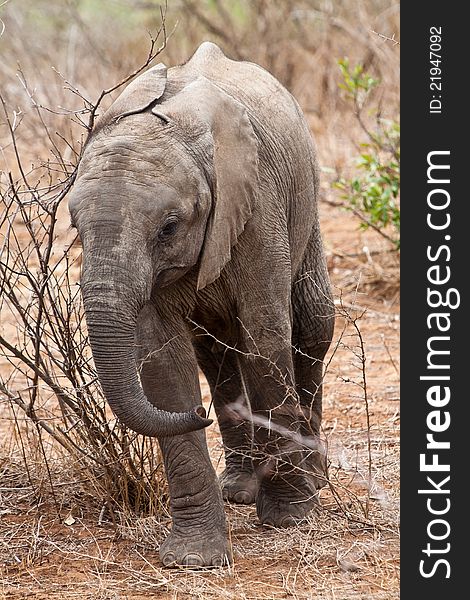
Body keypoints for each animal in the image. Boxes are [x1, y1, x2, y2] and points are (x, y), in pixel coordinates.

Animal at [69, 42, 334, 568]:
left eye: (169, 227)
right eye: (74, 227)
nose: (202, 415)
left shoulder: (257, 205)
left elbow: (265, 337)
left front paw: (290, 518)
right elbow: (161, 362)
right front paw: (194, 559)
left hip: (306, 203)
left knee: (312, 325)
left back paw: (314, 475)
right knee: (216, 356)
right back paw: (240, 489)